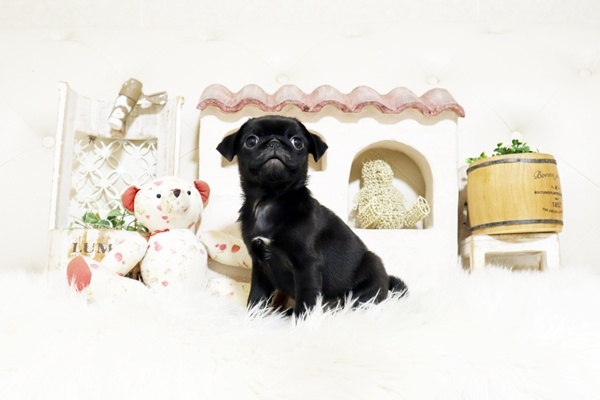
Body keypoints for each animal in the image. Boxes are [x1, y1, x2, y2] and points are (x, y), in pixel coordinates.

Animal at [217, 115, 407, 316]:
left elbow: (306, 297)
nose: (275, 141)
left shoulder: (307, 265)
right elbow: (257, 295)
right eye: (251, 141)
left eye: (297, 142)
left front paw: (301, 320)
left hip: (371, 271)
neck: (270, 199)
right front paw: (253, 316)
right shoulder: (260, 265)